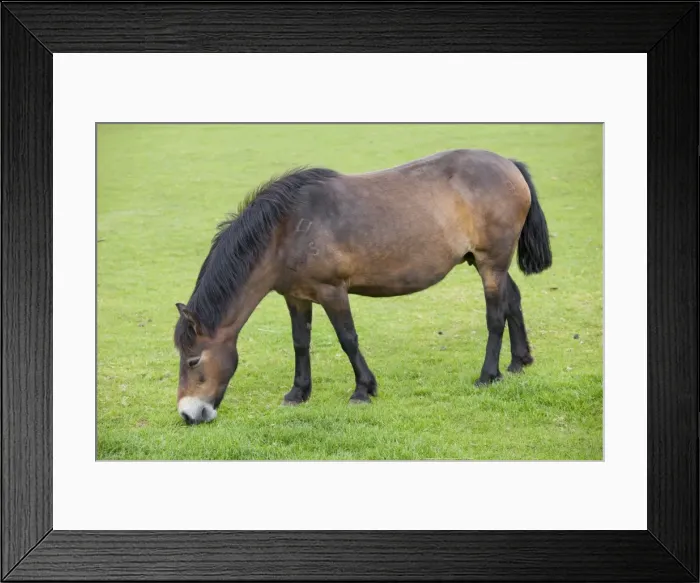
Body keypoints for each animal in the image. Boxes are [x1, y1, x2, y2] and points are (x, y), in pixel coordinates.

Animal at [173, 149, 552, 424]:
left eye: (193, 360)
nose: (189, 415)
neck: (287, 230)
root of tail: (509, 164)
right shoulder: (296, 297)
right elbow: (300, 343)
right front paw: (298, 393)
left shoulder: (332, 291)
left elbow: (348, 339)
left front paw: (363, 390)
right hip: (486, 262)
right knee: (513, 299)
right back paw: (518, 362)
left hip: (491, 262)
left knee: (495, 316)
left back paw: (489, 375)